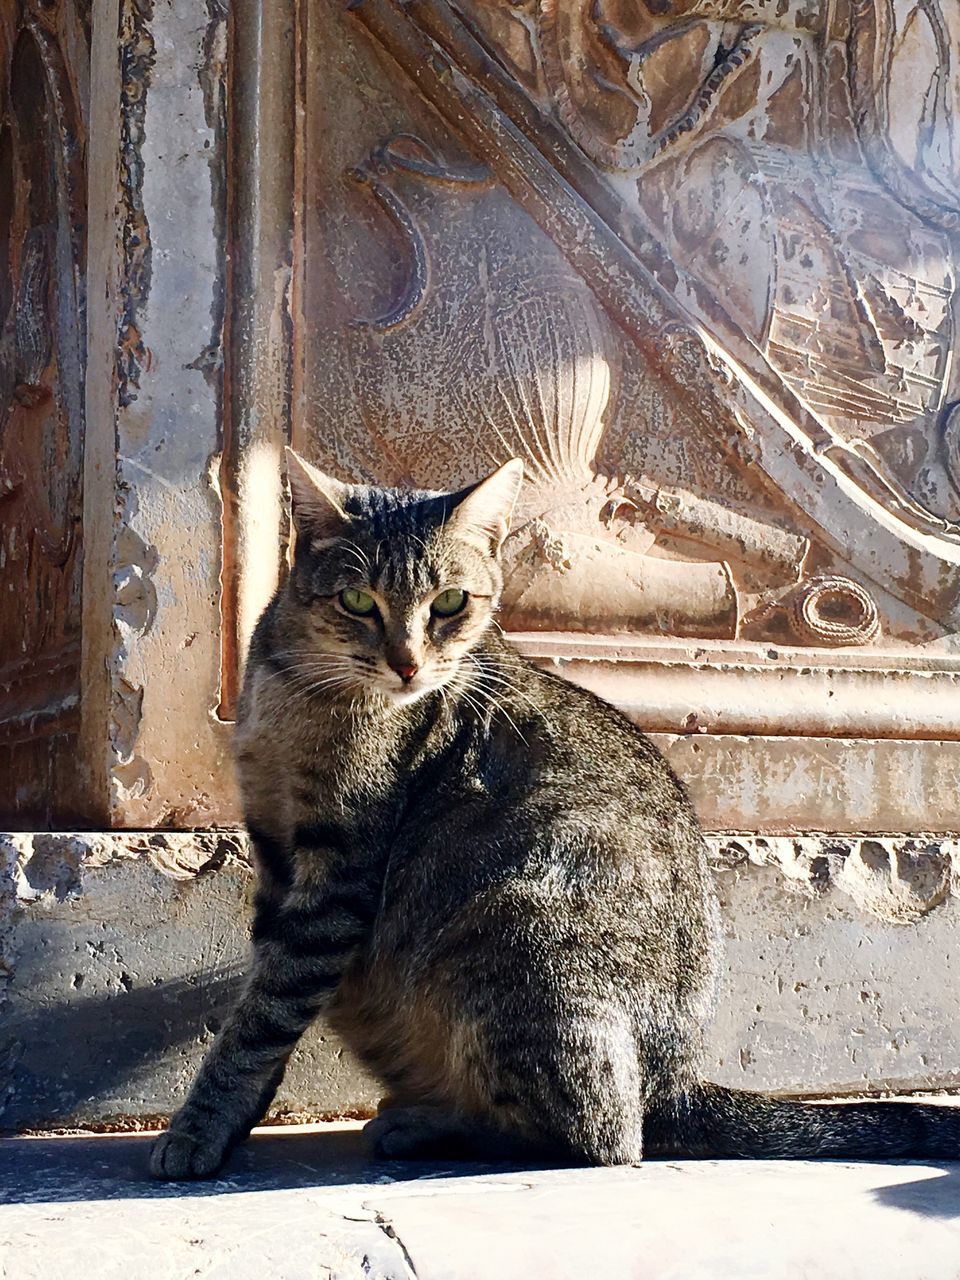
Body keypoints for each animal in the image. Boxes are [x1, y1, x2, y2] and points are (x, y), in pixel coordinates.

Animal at [150, 450, 957, 1177]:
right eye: (357, 603)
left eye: (451, 604)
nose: (408, 664)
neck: (303, 694)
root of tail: (677, 1085)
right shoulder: (275, 850)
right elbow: (263, 997)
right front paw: (231, 1120)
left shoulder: (337, 873)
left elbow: (263, 1014)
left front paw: (201, 1127)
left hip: (514, 925)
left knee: (603, 1138)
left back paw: (432, 1126)